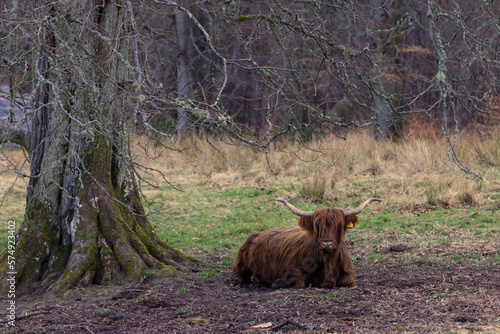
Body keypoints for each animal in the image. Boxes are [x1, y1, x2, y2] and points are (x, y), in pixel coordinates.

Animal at [229, 197, 380, 288]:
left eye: (339, 225)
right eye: (317, 225)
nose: (327, 244)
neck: (328, 262)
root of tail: (256, 234)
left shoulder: (348, 273)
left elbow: (346, 281)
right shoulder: (292, 267)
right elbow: (298, 279)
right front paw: (278, 282)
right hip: (241, 260)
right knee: (235, 273)